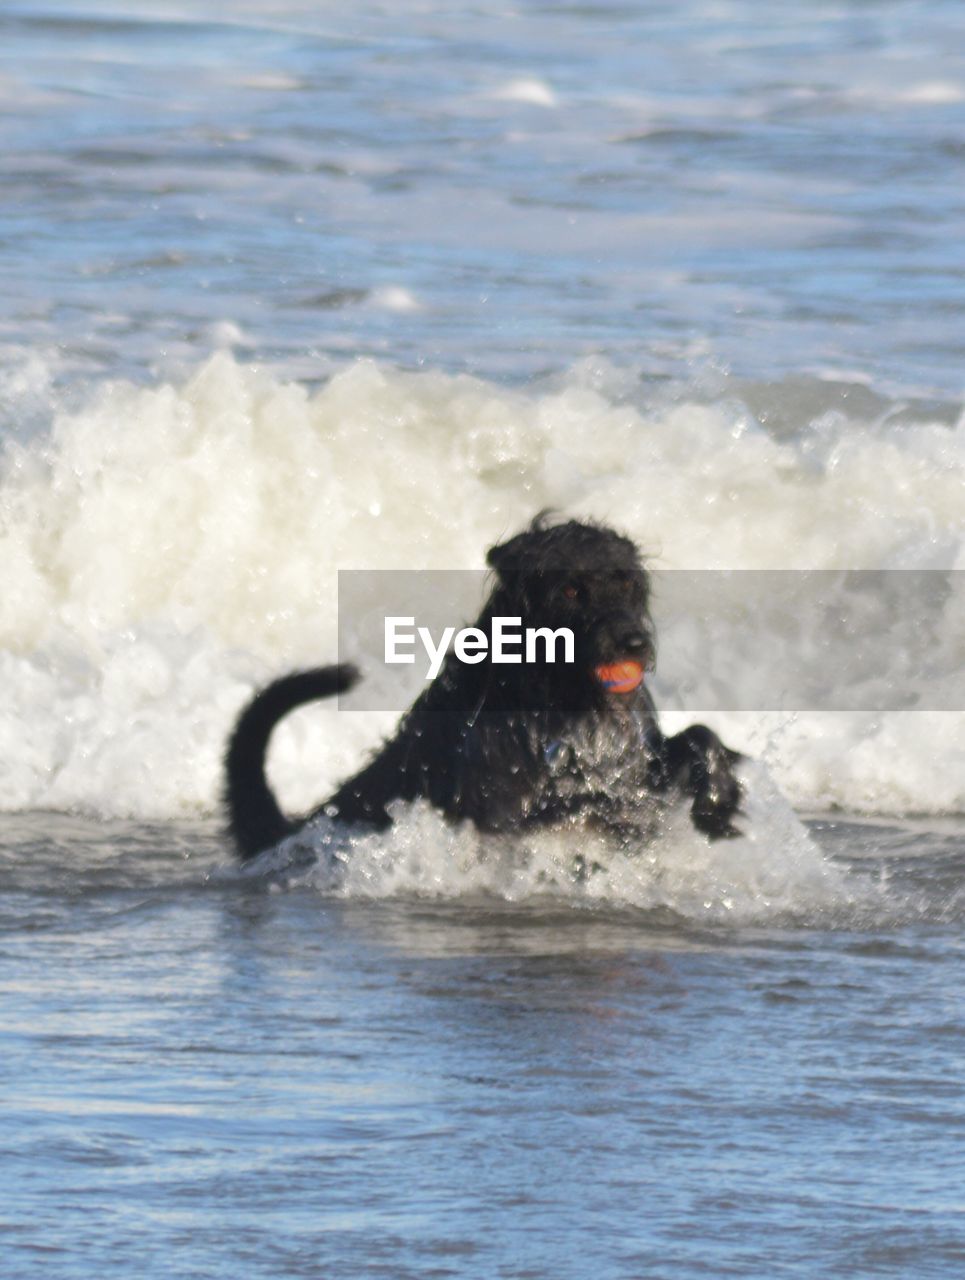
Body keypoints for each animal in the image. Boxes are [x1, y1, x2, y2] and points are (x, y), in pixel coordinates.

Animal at [223, 517, 737, 860]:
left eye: (628, 582)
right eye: (571, 590)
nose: (634, 643)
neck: (560, 691)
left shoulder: (631, 755)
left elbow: (698, 739)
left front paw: (717, 805)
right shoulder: (502, 803)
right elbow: (572, 805)